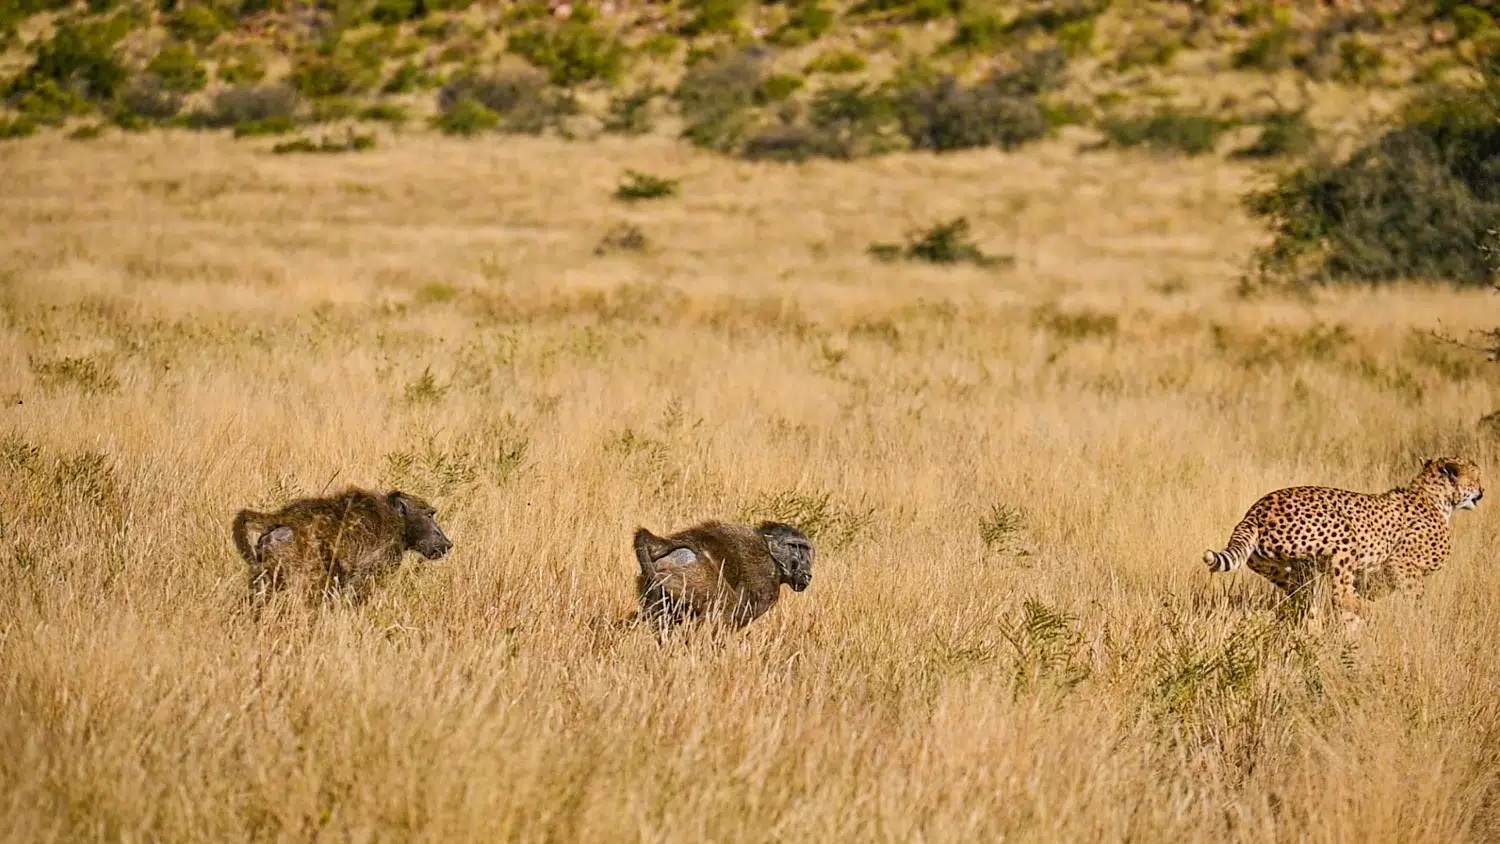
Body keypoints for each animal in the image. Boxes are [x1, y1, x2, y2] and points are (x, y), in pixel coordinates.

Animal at [1203, 456, 1483, 625]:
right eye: (1477, 477)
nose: (1482, 491)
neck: (1432, 496)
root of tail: (1256, 510)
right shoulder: (1400, 563)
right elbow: (1416, 597)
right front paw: (1418, 622)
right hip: (1345, 536)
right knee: (1339, 595)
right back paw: (1369, 614)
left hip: (1289, 569)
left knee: (1308, 600)